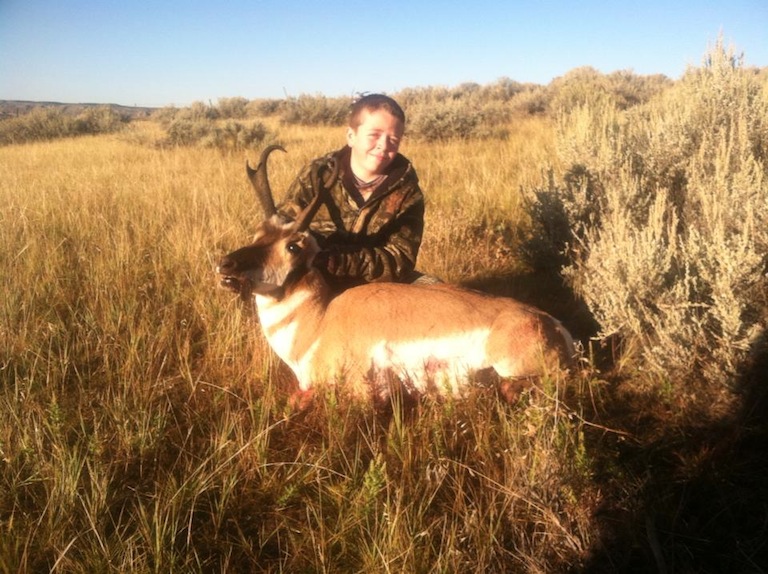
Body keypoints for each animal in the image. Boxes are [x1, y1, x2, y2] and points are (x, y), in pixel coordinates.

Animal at [219, 146, 572, 408]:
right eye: (257, 234)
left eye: (293, 245)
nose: (226, 265)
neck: (319, 320)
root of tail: (553, 324)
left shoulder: (357, 390)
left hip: (512, 365)